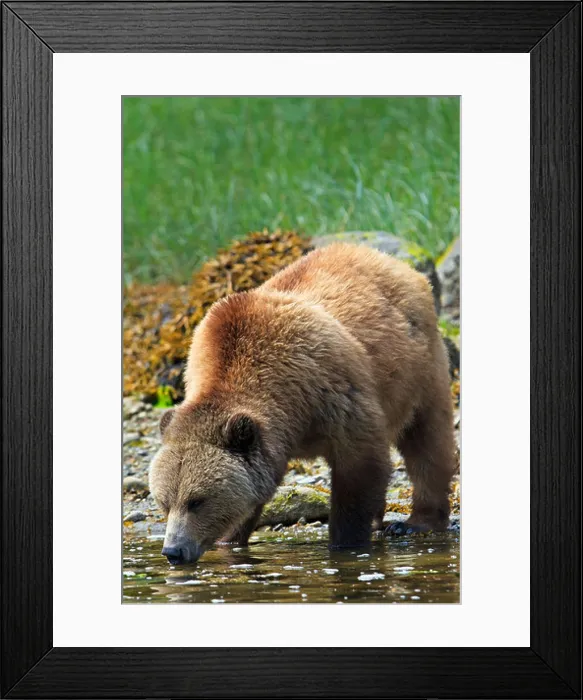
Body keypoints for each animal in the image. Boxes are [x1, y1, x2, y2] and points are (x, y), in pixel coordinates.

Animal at [149, 242, 456, 565]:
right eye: (164, 501)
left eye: (197, 500)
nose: (173, 551)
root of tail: (388, 260)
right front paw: (230, 540)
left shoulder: (331, 394)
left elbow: (359, 467)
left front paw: (346, 542)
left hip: (419, 369)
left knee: (427, 441)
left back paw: (416, 522)